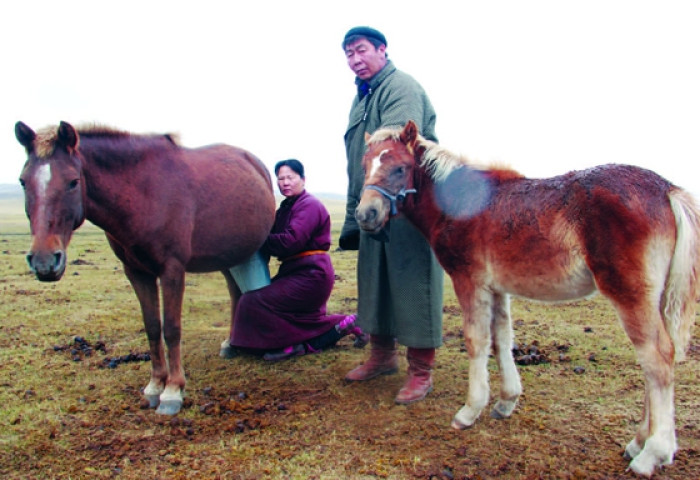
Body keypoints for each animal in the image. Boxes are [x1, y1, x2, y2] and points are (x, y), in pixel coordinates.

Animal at [15, 121, 274, 416]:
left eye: (73, 181)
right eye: (23, 181)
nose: (44, 261)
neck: (145, 192)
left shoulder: (172, 270)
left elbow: (171, 329)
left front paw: (173, 391)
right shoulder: (136, 272)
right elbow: (151, 326)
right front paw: (154, 386)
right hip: (228, 254)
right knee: (234, 293)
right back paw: (230, 343)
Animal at [356, 120, 700, 476]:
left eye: (400, 168)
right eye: (365, 166)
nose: (366, 214)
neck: (461, 201)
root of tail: (668, 189)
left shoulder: (470, 281)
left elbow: (476, 341)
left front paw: (470, 410)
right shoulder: (496, 288)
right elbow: (501, 339)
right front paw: (506, 400)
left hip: (631, 295)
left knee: (657, 359)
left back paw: (653, 453)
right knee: (658, 360)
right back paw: (639, 442)